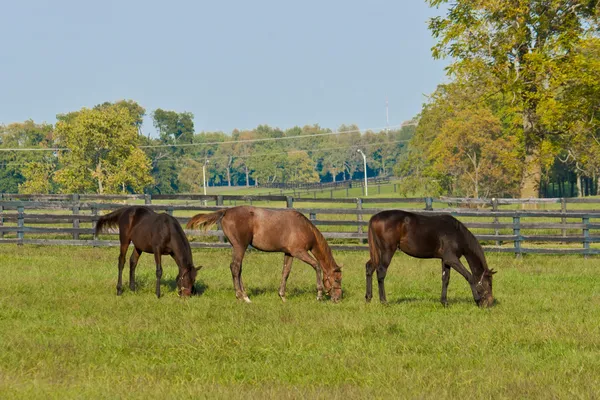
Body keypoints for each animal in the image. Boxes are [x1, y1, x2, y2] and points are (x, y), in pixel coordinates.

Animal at [186, 206, 342, 304]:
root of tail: (226, 211)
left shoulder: (289, 253)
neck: (304, 227)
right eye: (337, 280)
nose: (338, 298)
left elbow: (285, 272)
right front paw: (319, 295)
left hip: (238, 248)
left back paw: (245, 296)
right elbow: (317, 266)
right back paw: (241, 296)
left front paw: (282, 296)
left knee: (238, 269)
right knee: (235, 267)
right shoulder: (299, 252)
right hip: (240, 246)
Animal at [366, 211, 496, 308]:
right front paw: (477, 300)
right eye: (489, 283)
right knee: (381, 272)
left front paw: (444, 302)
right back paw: (384, 301)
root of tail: (374, 218)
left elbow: (445, 279)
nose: (490, 302)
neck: (456, 233)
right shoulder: (452, 259)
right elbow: (469, 276)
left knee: (369, 268)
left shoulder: (445, 260)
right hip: (387, 251)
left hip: (377, 252)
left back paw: (368, 298)